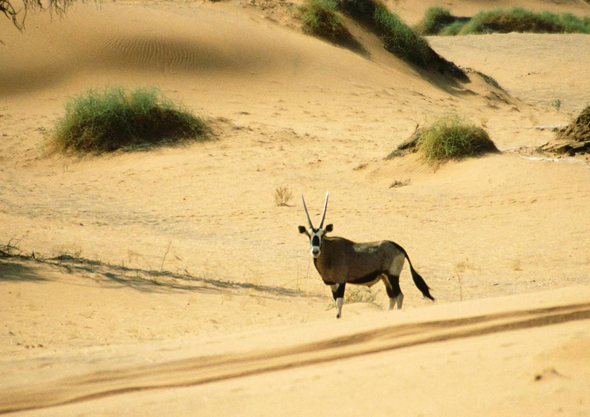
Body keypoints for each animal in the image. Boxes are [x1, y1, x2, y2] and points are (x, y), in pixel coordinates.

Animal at [300, 193, 434, 318]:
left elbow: (339, 303)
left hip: (393, 276)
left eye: (323, 235)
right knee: (392, 297)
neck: (329, 253)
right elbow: (335, 303)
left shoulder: (341, 281)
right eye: (309, 235)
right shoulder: (332, 284)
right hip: (385, 278)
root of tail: (399, 247)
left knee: (399, 295)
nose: (315, 251)